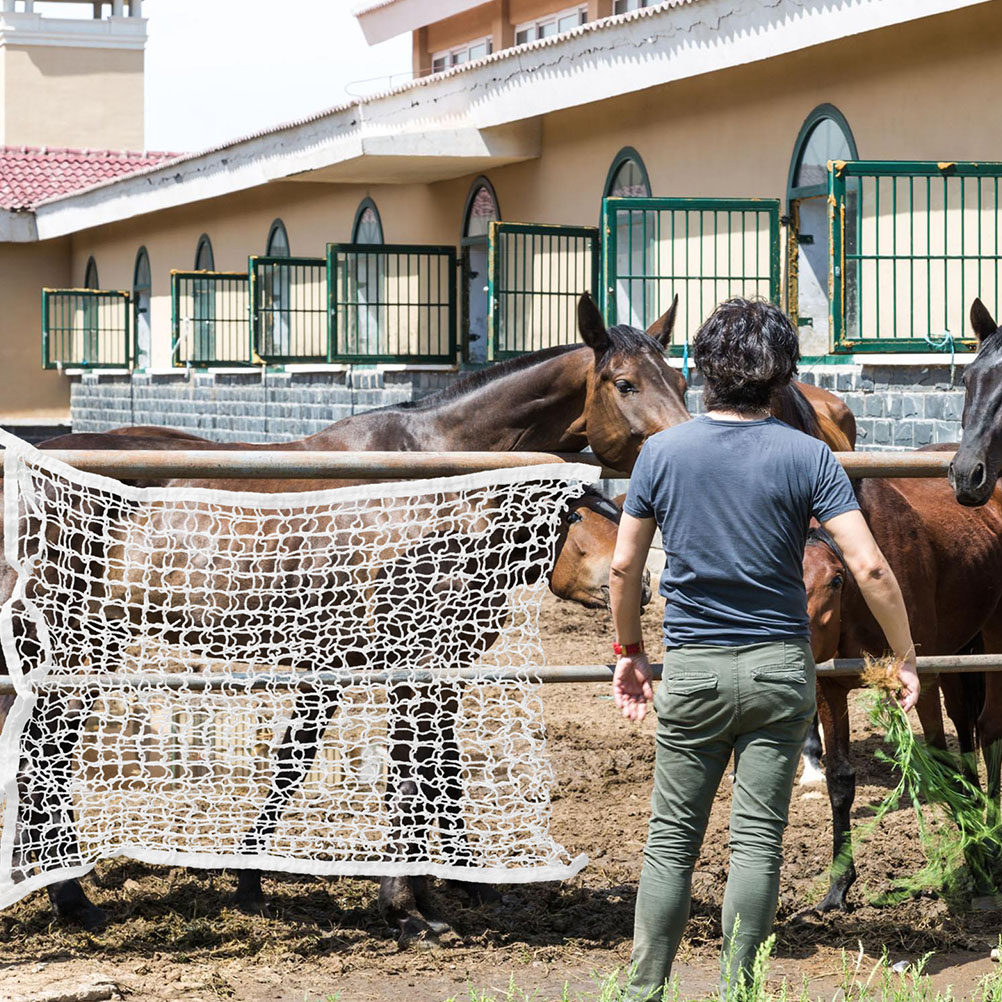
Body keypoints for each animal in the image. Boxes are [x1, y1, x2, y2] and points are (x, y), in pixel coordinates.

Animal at [802, 475, 1002, 911]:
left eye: (835, 580)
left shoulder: (922, 680)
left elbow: (940, 759)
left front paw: (977, 862)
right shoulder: (829, 688)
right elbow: (839, 779)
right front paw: (838, 888)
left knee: (989, 728)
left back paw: (991, 838)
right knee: (967, 724)